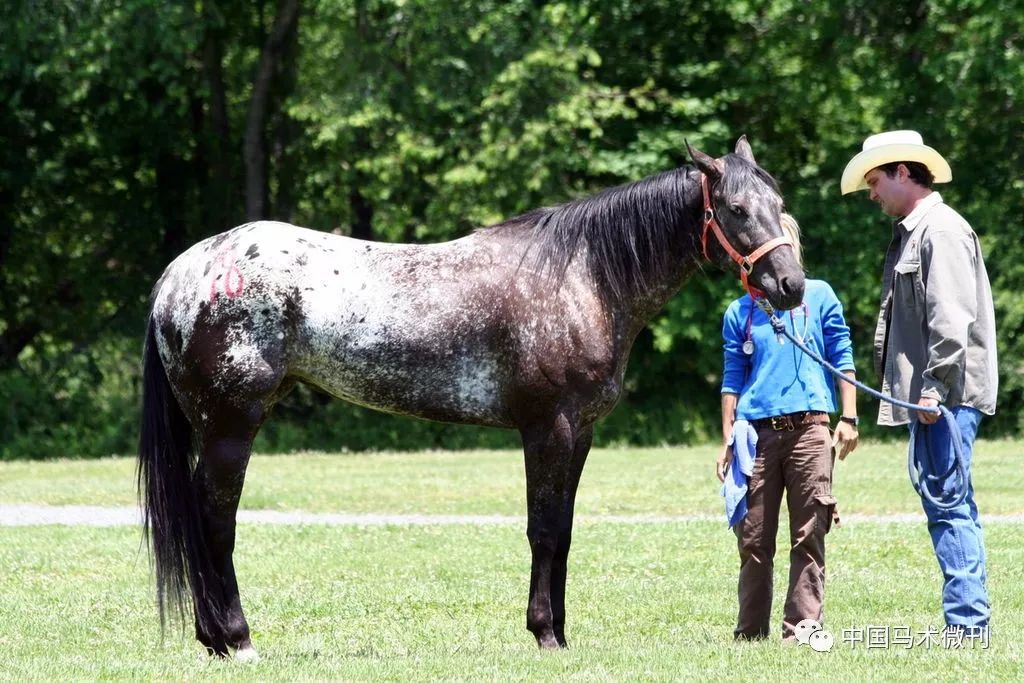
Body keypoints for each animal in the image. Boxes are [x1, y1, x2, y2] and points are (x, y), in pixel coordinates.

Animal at [138, 136, 806, 659]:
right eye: (737, 208)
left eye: (779, 205)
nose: (791, 285)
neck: (582, 278)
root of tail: (181, 273)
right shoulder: (548, 428)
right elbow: (544, 531)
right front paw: (545, 634)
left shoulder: (581, 433)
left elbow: (564, 531)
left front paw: (561, 633)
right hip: (231, 427)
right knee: (215, 521)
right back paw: (237, 639)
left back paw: (214, 639)